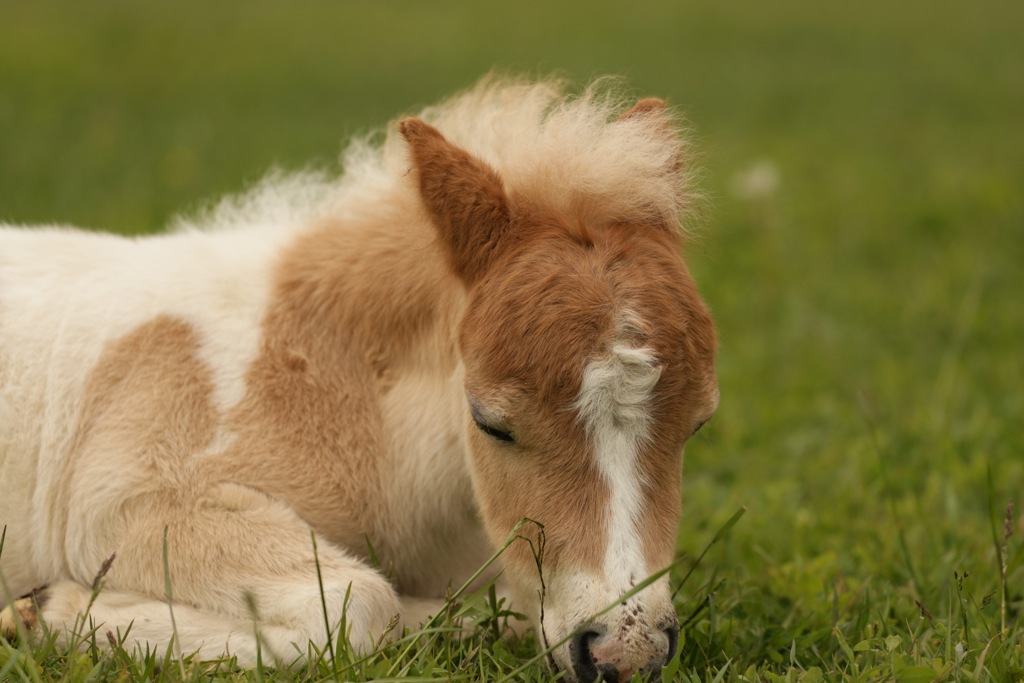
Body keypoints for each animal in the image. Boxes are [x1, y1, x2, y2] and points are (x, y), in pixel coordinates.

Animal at [0, 77, 716, 679]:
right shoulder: (121, 501)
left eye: (696, 426)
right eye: (491, 424)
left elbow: (500, 613)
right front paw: (48, 612)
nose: (626, 654)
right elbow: (360, 605)